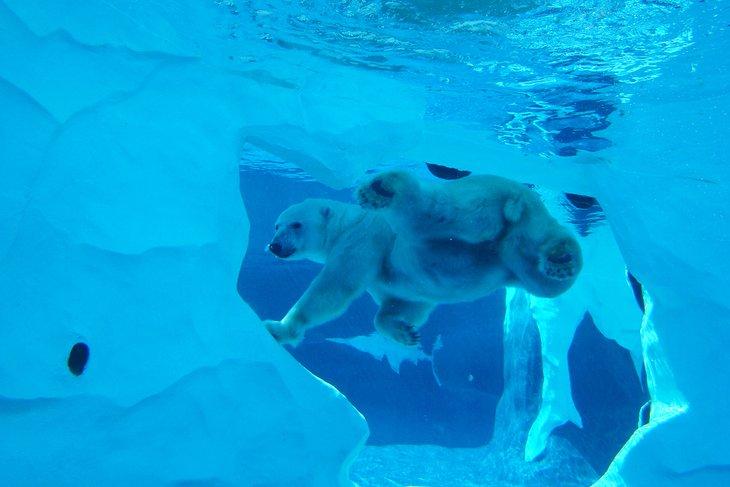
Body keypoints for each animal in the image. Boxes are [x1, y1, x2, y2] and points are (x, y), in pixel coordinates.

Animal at [263, 171, 582, 346]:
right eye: (276, 225)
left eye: (296, 225)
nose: (274, 246)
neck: (347, 223)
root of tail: (517, 196)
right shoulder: (388, 282)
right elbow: (406, 303)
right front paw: (406, 332)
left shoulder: (364, 238)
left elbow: (334, 287)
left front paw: (279, 328)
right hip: (519, 249)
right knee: (543, 279)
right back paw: (561, 260)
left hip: (469, 199)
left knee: (432, 209)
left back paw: (382, 188)